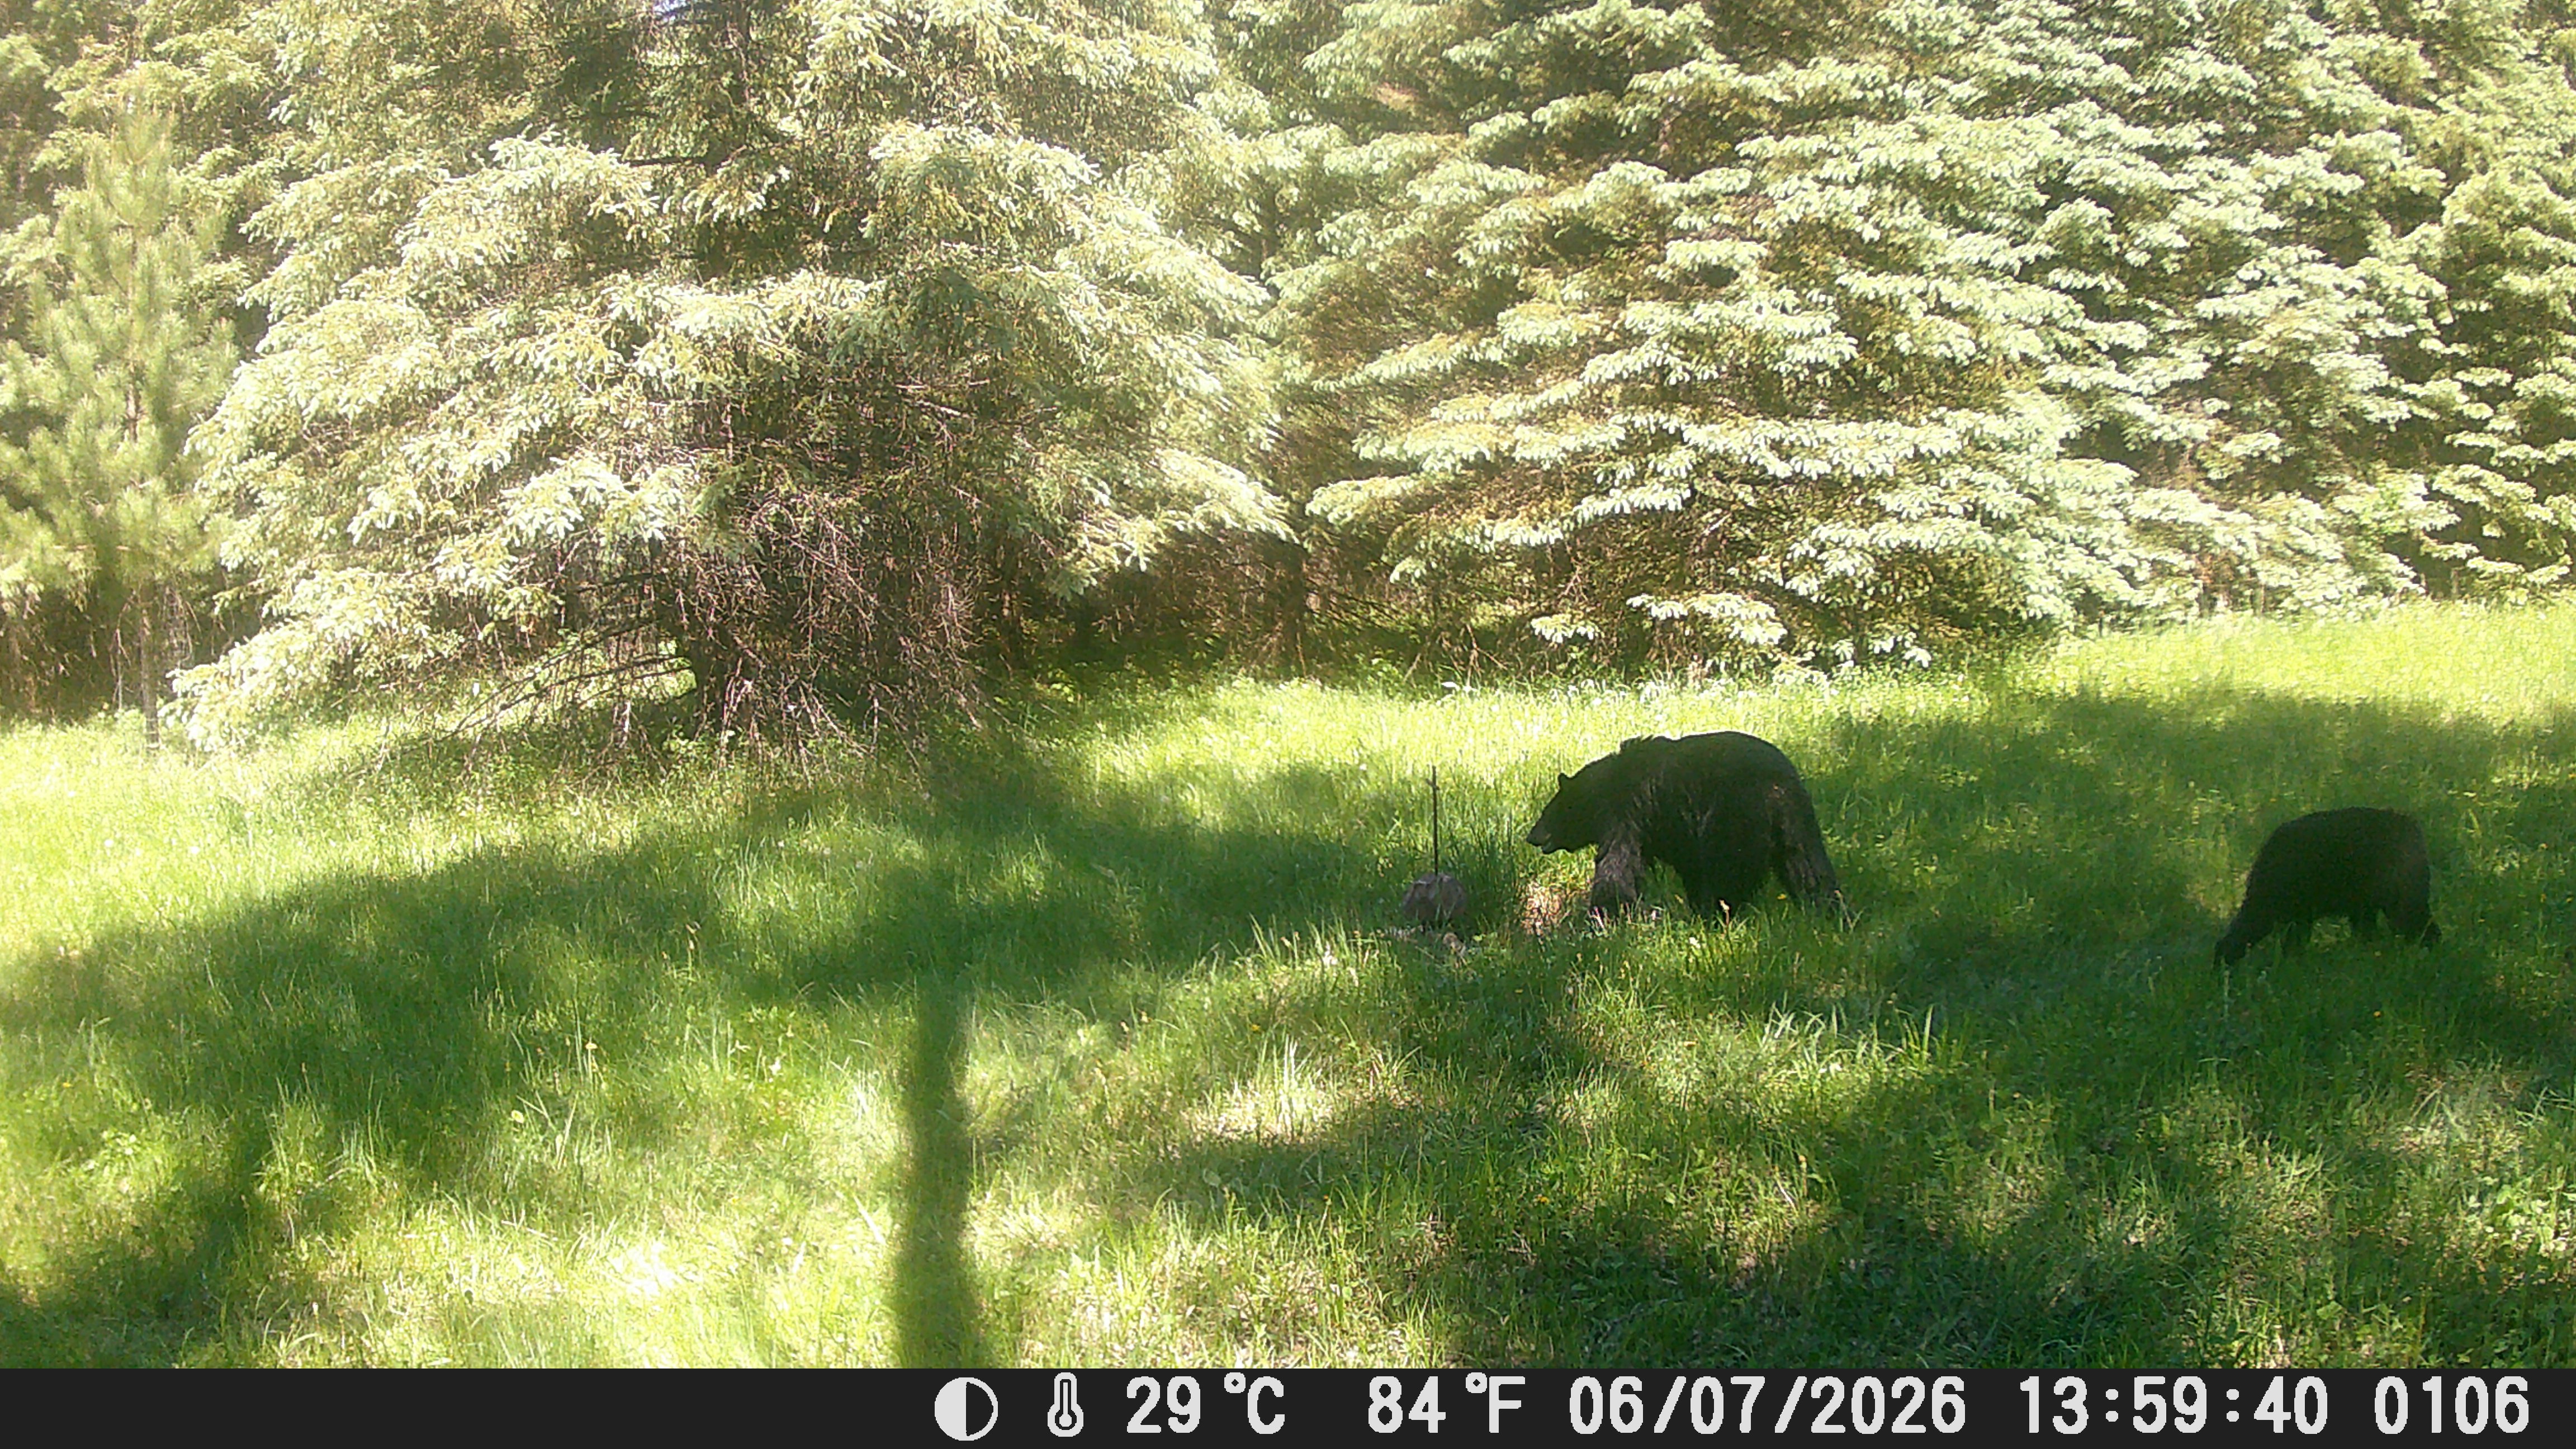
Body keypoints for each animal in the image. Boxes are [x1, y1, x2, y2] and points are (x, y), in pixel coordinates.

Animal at [1525, 730, 1843, 920]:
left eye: (1548, 812)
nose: (1532, 836)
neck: (1603, 789)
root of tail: (1778, 785)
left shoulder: (1626, 813)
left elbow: (1618, 864)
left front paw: (1603, 916)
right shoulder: (1672, 828)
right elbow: (1688, 862)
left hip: (1735, 815)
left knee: (1730, 870)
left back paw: (1719, 913)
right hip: (1798, 823)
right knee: (1809, 869)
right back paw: (1829, 911)